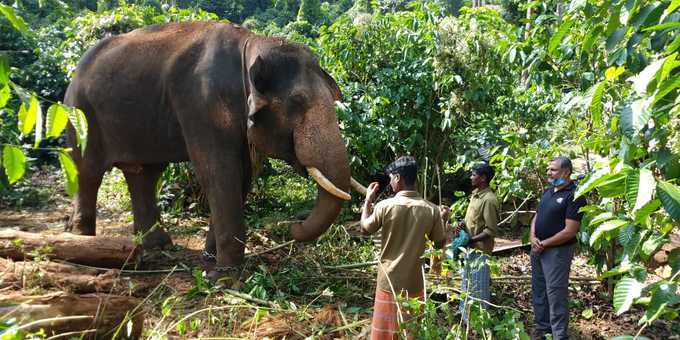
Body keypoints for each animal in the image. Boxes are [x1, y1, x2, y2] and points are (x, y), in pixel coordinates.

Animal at [62, 20, 366, 276]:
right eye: (298, 102)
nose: (293, 225)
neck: (251, 45)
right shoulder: (201, 103)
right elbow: (219, 172)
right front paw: (226, 274)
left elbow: (243, 175)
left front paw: (211, 257)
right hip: (80, 115)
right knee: (88, 172)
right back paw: (82, 243)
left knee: (144, 174)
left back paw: (158, 247)